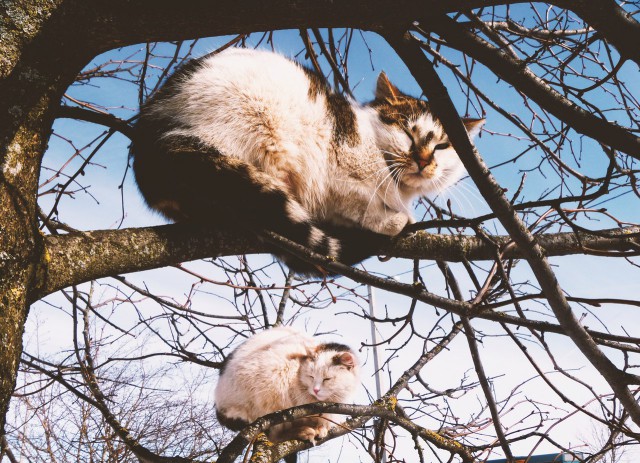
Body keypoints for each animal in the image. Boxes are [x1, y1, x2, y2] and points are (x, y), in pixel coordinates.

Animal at [131, 48, 484, 272]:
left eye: (441, 146)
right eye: (410, 134)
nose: (423, 160)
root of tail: (147, 141)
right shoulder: (336, 172)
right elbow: (358, 201)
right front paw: (395, 219)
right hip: (257, 123)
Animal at [215, 326, 360, 446]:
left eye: (327, 379)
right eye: (311, 376)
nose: (316, 390)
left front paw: (321, 428)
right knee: (274, 437)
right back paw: (304, 432)